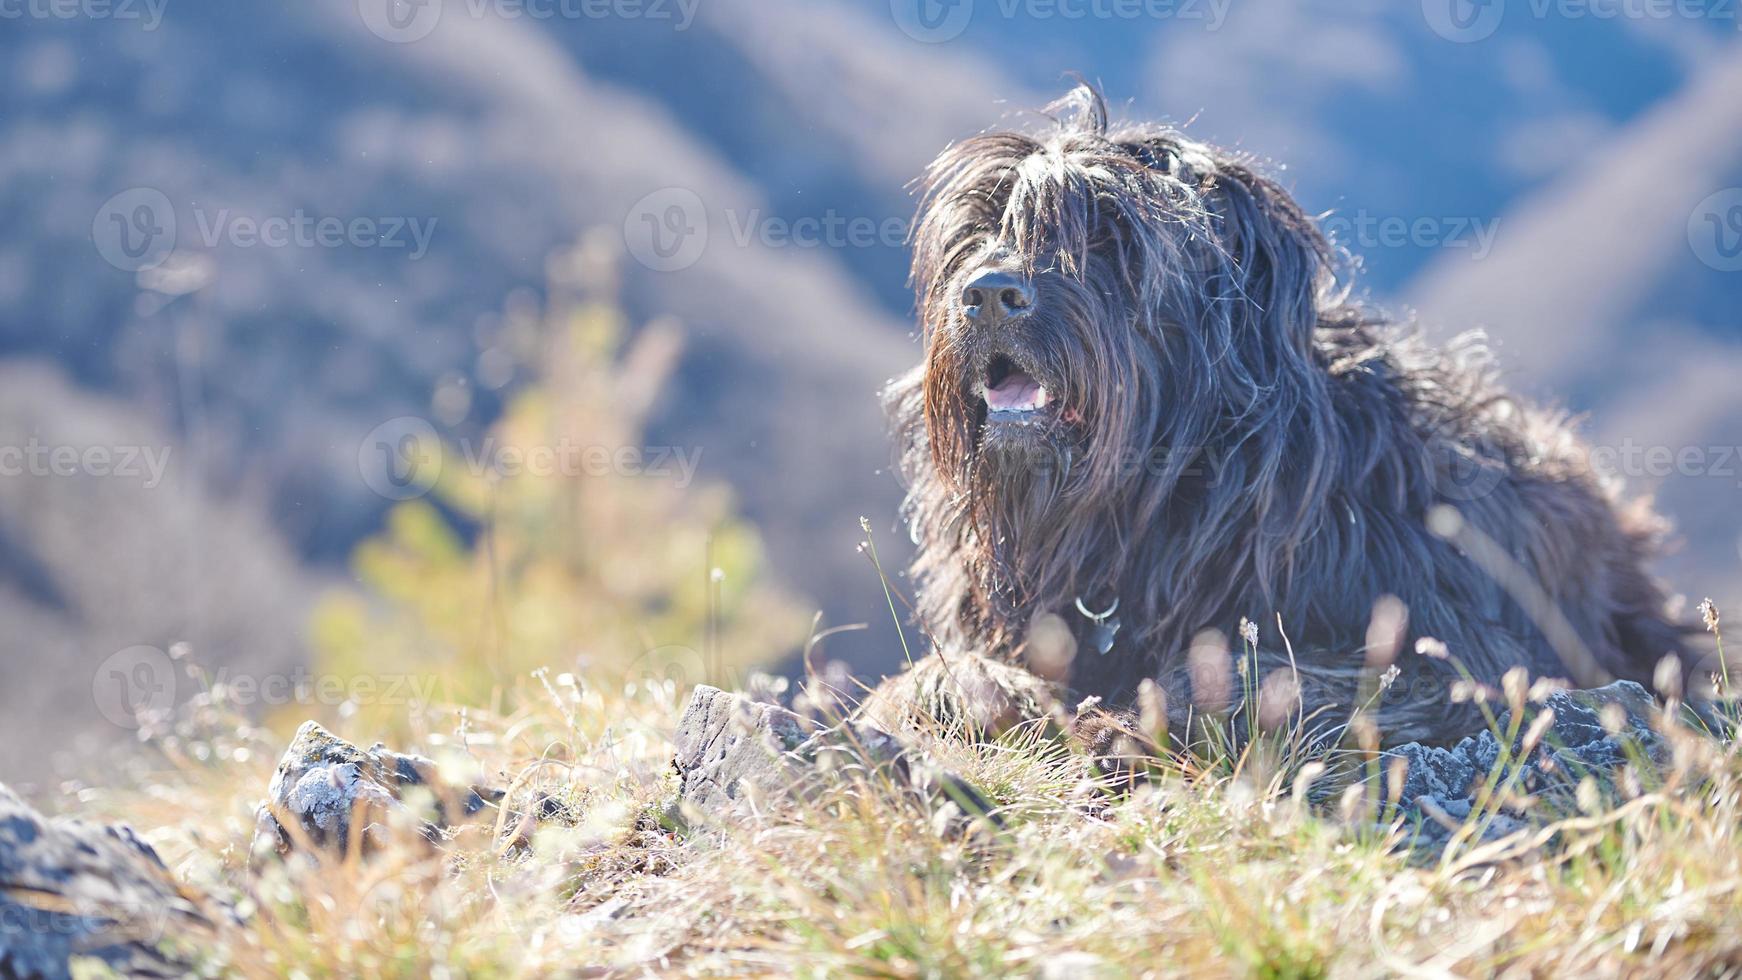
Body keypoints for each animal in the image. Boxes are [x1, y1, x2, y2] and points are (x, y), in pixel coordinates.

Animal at [871, 88, 1700, 748]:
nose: (988, 294)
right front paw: (983, 698)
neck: (1149, 505)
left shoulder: (1469, 655)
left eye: (1108, 233)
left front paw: (1133, 718)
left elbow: (1266, 674)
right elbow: (940, 673)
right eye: (981, 229)